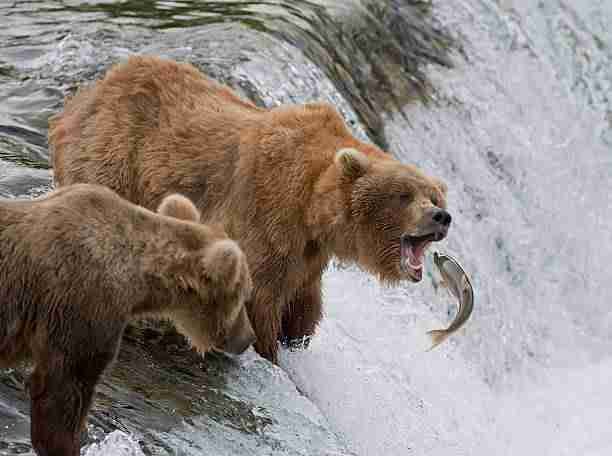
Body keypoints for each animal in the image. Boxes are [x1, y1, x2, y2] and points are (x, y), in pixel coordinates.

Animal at [0, 183, 255, 456]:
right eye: (245, 294)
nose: (248, 337)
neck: (137, 281)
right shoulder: (82, 307)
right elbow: (64, 389)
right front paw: (68, 442)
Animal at [49, 56, 450, 364]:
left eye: (434, 196)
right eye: (404, 194)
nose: (441, 217)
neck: (313, 208)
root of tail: (86, 93)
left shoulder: (308, 255)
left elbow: (303, 305)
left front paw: (294, 337)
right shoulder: (267, 214)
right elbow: (260, 296)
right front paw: (268, 349)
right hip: (115, 157)